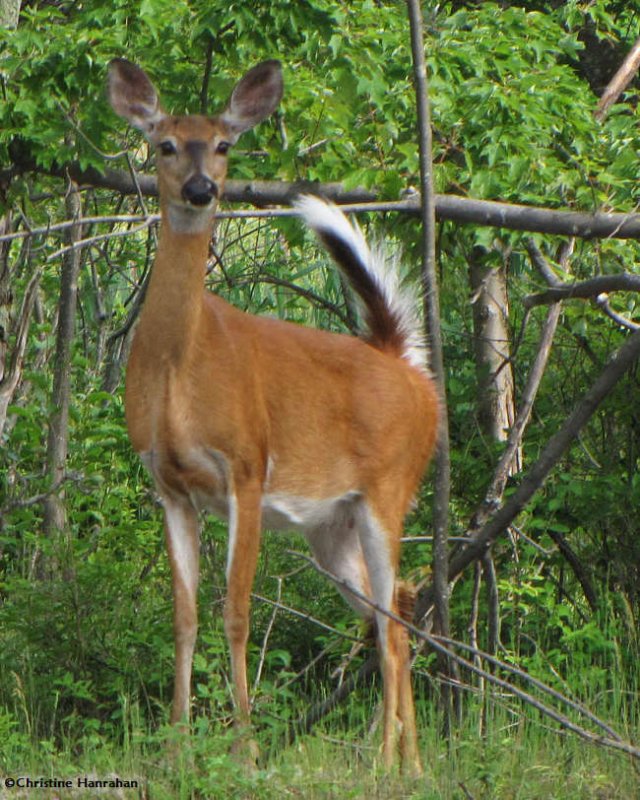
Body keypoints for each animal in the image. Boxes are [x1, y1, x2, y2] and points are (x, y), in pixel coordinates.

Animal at [109, 57, 440, 776]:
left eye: (224, 144)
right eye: (164, 144)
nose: (202, 189)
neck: (182, 364)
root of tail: (404, 363)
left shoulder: (246, 468)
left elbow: (236, 612)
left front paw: (246, 749)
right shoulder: (169, 486)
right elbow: (184, 616)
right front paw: (175, 748)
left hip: (390, 491)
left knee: (393, 617)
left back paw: (388, 761)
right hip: (333, 527)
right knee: (395, 605)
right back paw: (404, 762)